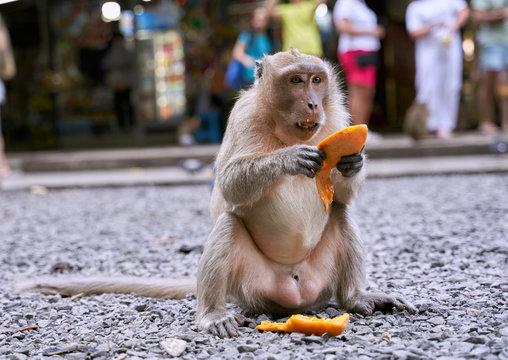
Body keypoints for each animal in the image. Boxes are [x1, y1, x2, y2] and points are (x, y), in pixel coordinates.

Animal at [20, 50, 416, 338]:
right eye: (296, 80)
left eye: (317, 80)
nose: (313, 104)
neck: (287, 131)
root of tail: (295, 296)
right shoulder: (243, 116)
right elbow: (227, 184)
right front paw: (288, 159)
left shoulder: (336, 120)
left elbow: (343, 195)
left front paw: (352, 161)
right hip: (251, 287)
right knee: (228, 225)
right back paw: (213, 314)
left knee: (341, 213)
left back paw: (356, 297)